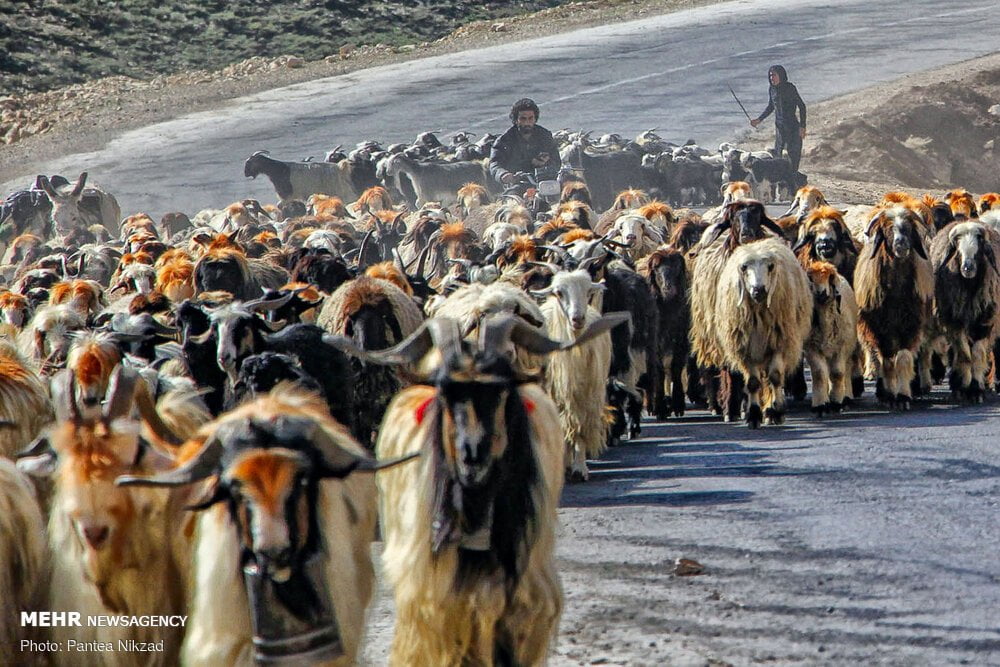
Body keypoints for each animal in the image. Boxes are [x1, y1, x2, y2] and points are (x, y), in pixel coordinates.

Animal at [804, 264, 860, 414]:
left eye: (829, 277)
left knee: (846, 369)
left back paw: (847, 396)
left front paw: (836, 402)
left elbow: (837, 373)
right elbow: (819, 374)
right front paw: (821, 404)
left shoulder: (842, 347)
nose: (821, 292)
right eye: (810, 278)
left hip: (848, 346)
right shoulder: (812, 348)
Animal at [856, 206, 932, 410]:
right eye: (888, 228)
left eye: (908, 227)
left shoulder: (910, 326)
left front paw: (904, 396)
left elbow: (903, 359)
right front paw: (889, 395)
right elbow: (888, 361)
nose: (901, 243)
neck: (896, 294)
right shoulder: (881, 329)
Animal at [928, 223, 1000, 402]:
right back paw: (957, 384)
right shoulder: (955, 322)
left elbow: (978, 354)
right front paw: (965, 387)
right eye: (958, 249)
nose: (967, 268)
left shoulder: (984, 322)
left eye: (979, 249)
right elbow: (964, 354)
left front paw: (976, 390)